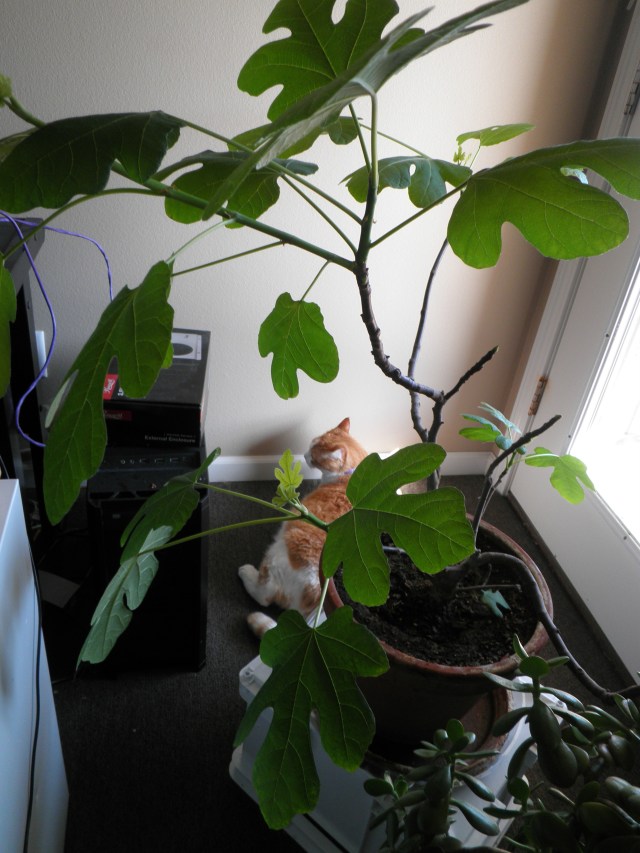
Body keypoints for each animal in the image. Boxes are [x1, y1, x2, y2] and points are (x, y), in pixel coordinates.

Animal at [238, 416, 368, 636]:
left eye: (313, 455)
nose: (305, 455)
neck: (350, 474)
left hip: (277, 554)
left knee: (264, 596)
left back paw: (246, 573)